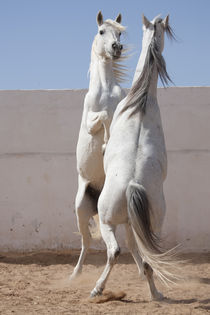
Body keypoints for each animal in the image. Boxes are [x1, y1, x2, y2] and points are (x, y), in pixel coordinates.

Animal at [90, 14, 176, 302]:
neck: (141, 104)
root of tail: (132, 185)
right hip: (148, 224)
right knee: (146, 256)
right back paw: (156, 293)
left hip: (108, 221)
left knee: (115, 250)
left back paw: (98, 289)